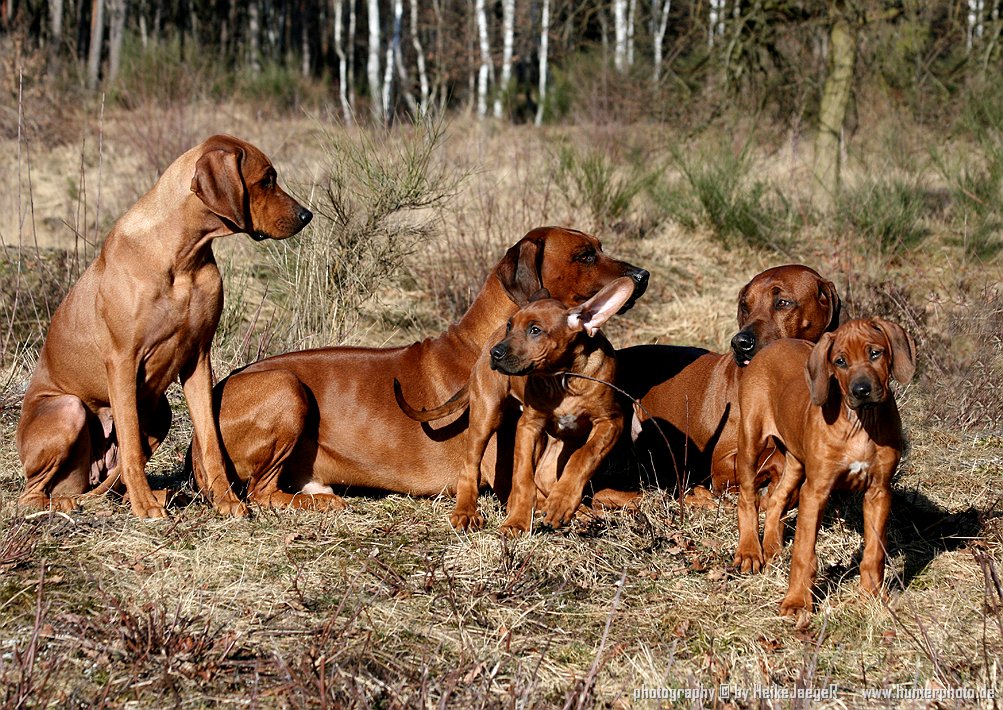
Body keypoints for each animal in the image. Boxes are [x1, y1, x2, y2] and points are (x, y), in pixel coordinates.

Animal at [16, 134, 312, 517]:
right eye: (266, 180)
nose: (307, 215)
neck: (182, 254)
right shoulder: (122, 361)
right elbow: (129, 444)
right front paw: (144, 506)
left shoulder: (198, 359)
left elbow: (210, 441)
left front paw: (225, 500)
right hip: (68, 409)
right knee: (32, 492)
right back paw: (74, 502)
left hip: (160, 415)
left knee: (108, 485)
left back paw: (155, 495)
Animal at [195, 224, 649, 507]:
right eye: (585, 256)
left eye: (599, 246)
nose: (642, 275)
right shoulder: (504, 474)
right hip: (286, 387)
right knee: (259, 492)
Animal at [393, 276, 633, 533]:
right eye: (510, 326)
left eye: (535, 330)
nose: (495, 353)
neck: (563, 378)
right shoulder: (529, 426)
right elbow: (522, 477)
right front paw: (517, 521)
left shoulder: (611, 421)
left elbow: (583, 456)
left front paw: (561, 503)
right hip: (486, 415)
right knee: (470, 466)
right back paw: (465, 512)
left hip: (561, 437)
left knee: (546, 473)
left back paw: (574, 510)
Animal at [730, 316, 918, 613]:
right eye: (840, 361)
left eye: (875, 353)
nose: (861, 391)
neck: (860, 423)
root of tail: (773, 345)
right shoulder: (815, 491)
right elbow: (804, 552)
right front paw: (796, 603)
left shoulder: (879, 492)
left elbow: (874, 551)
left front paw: (873, 596)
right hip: (751, 439)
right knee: (748, 497)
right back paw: (750, 551)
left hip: (796, 460)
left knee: (776, 498)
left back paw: (772, 547)